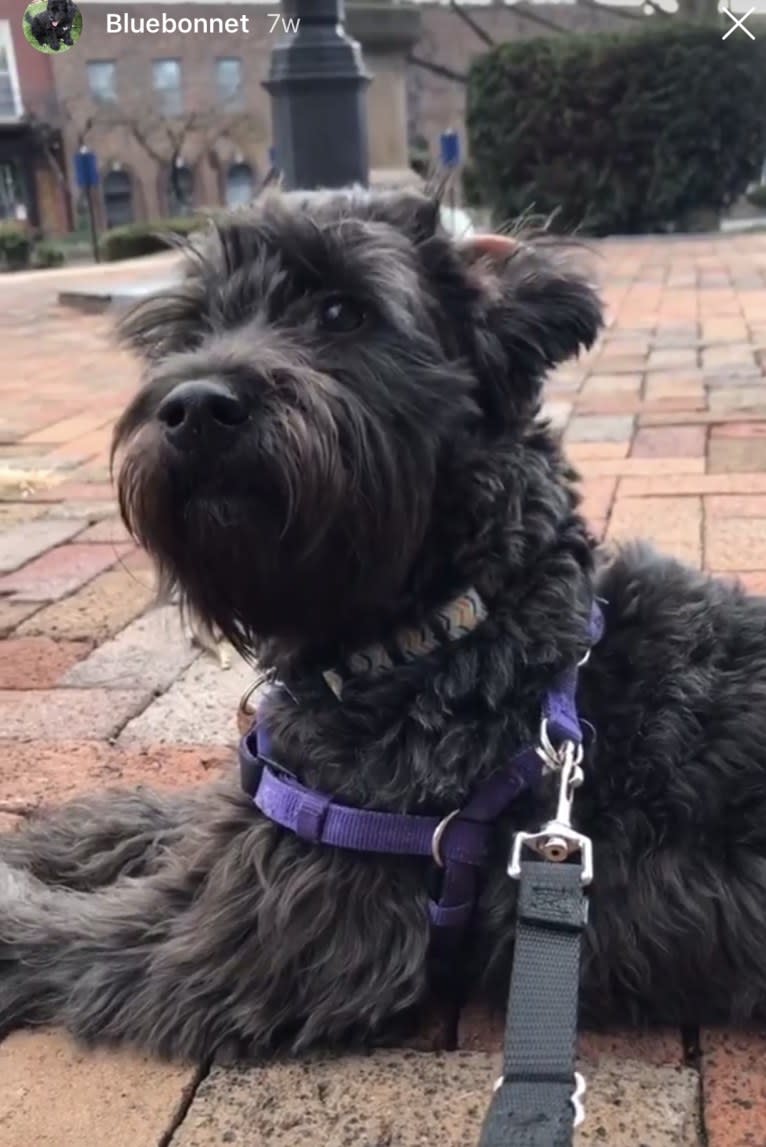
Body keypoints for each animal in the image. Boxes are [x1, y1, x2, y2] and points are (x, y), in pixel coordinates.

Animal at [1, 185, 766, 1064]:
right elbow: (166, 812)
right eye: (191, 327)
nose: (194, 407)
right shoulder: (275, 806)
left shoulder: (245, 929)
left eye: (343, 310)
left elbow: (60, 932)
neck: (448, 630)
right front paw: (59, 833)